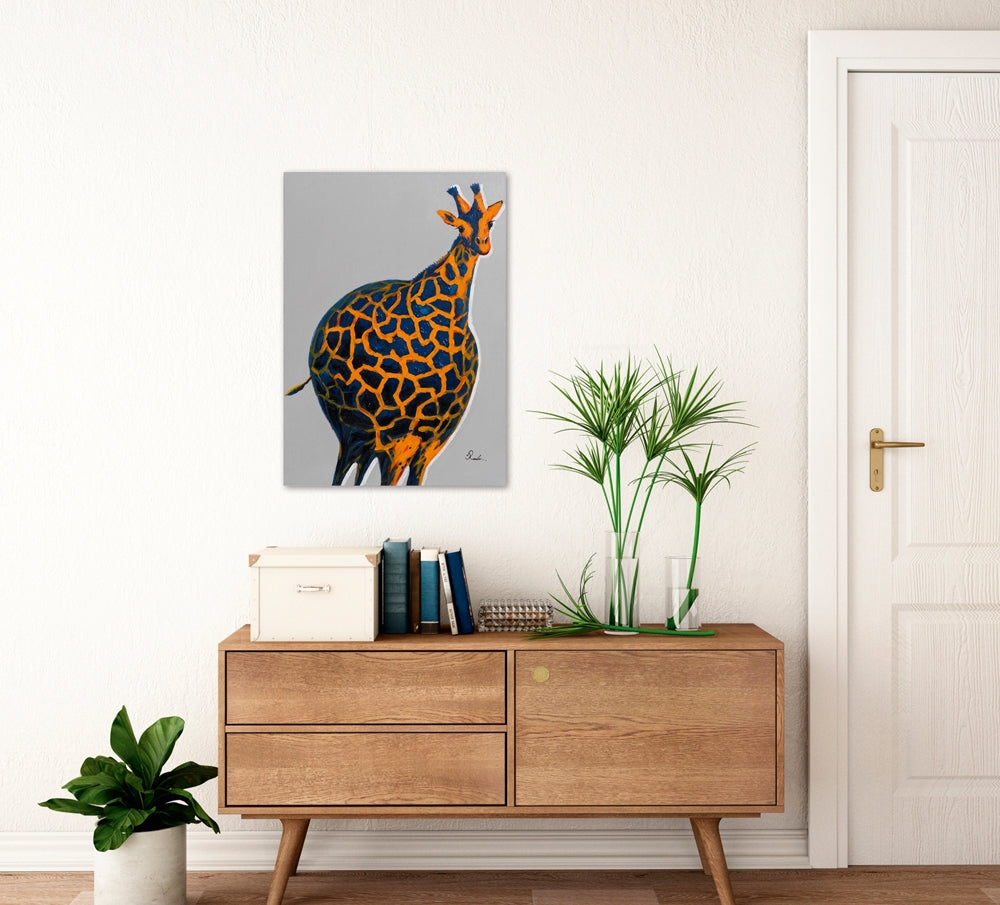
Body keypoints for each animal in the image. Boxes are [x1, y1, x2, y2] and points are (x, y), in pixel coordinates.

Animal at [287, 183, 504, 485]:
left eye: (490, 223)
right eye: (459, 227)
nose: (483, 245)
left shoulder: (431, 442)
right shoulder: (394, 438)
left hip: (364, 437)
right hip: (351, 429)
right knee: (343, 473)